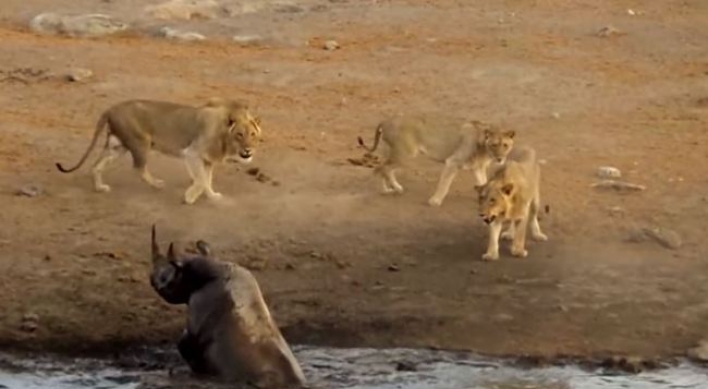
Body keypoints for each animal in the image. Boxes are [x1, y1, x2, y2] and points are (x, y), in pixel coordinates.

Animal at [54, 98, 262, 203]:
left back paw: (100, 187)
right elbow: (201, 180)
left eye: (253, 134)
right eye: (239, 135)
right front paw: (189, 197)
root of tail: (111, 108)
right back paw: (157, 184)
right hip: (141, 142)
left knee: (96, 165)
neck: (223, 136)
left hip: (117, 146)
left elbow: (207, 180)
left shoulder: (207, 160)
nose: (248, 150)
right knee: (138, 168)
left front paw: (212, 196)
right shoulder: (192, 153)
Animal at [360, 113, 516, 206]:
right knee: (382, 168)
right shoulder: (452, 162)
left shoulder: (478, 167)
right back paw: (393, 189)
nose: (500, 158)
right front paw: (435, 201)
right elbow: (444, 184)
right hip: (405, 154)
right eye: (494, 144)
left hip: (392, 153)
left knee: (381, 168)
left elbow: (484, 182)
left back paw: (388, 188)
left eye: (505, 145)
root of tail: (386, 120)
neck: (484, 146)